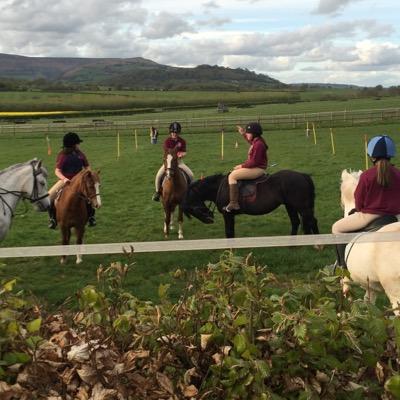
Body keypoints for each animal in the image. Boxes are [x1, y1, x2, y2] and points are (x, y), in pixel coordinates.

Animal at [182, 170, 318, 239]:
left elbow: (229, 233)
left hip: (302, 207)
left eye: (192, 209)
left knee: (311, 221)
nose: (209, 220)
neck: (220, 186)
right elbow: (231, 233)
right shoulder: (230, 216)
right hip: (290, 206)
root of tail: (303, 175)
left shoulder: (228, 215)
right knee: (296, 222)